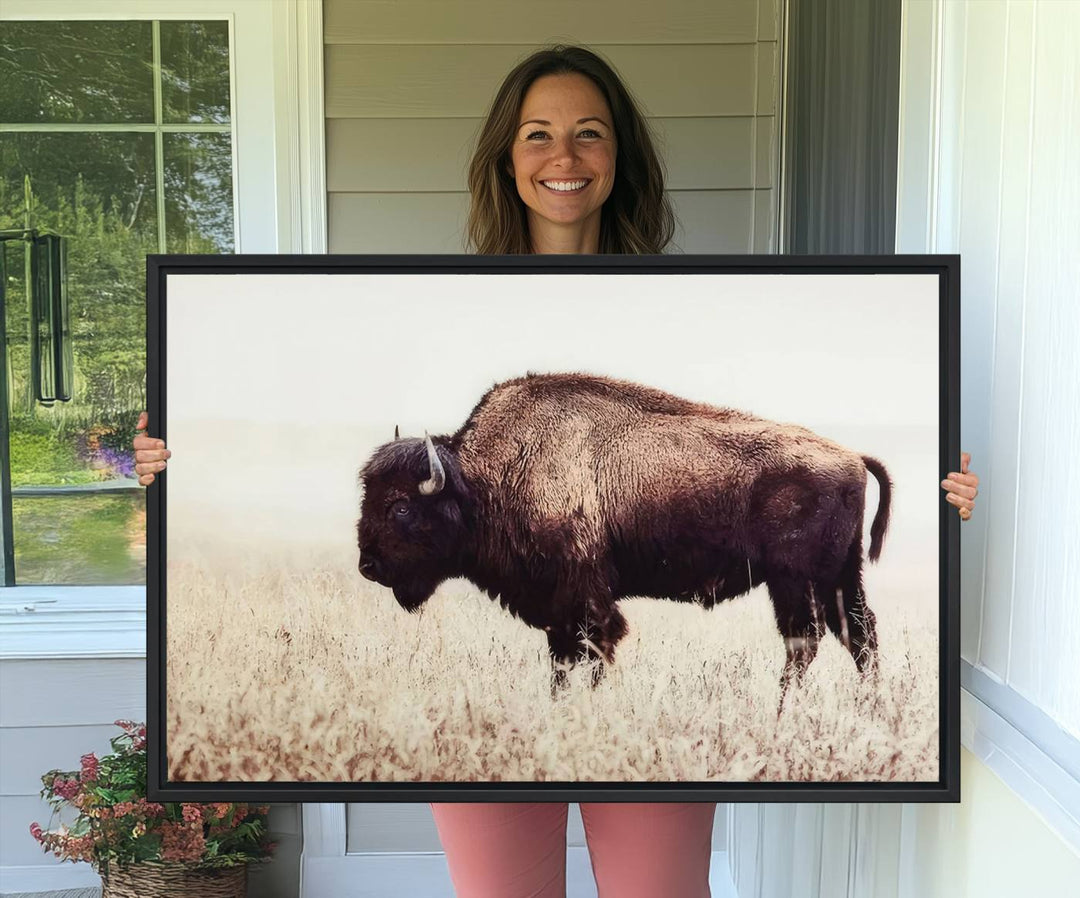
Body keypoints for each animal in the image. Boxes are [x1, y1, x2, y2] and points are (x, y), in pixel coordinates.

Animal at [358, 371, 889, 700]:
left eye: (401, 506)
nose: (368, 566)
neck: (483, 480)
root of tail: (852, 456)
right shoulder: (558, 610)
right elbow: (562, 660)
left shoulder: (586, 598)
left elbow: (595, 649)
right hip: (840, 577)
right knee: (858, 636)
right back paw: (868, 708)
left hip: (795, 581)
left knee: (806, 640)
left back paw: (781, 710)